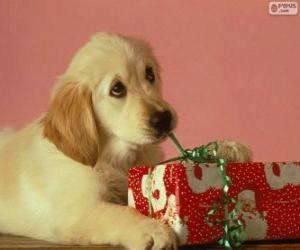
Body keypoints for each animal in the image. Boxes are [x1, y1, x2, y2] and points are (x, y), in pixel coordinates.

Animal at [0, 32, 253, 249]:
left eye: (150, 74)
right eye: (117, 89)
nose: (164, 119)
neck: (116, 156)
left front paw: (226, 148)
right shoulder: (79, 211)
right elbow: (119, 212)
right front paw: (152, 229)